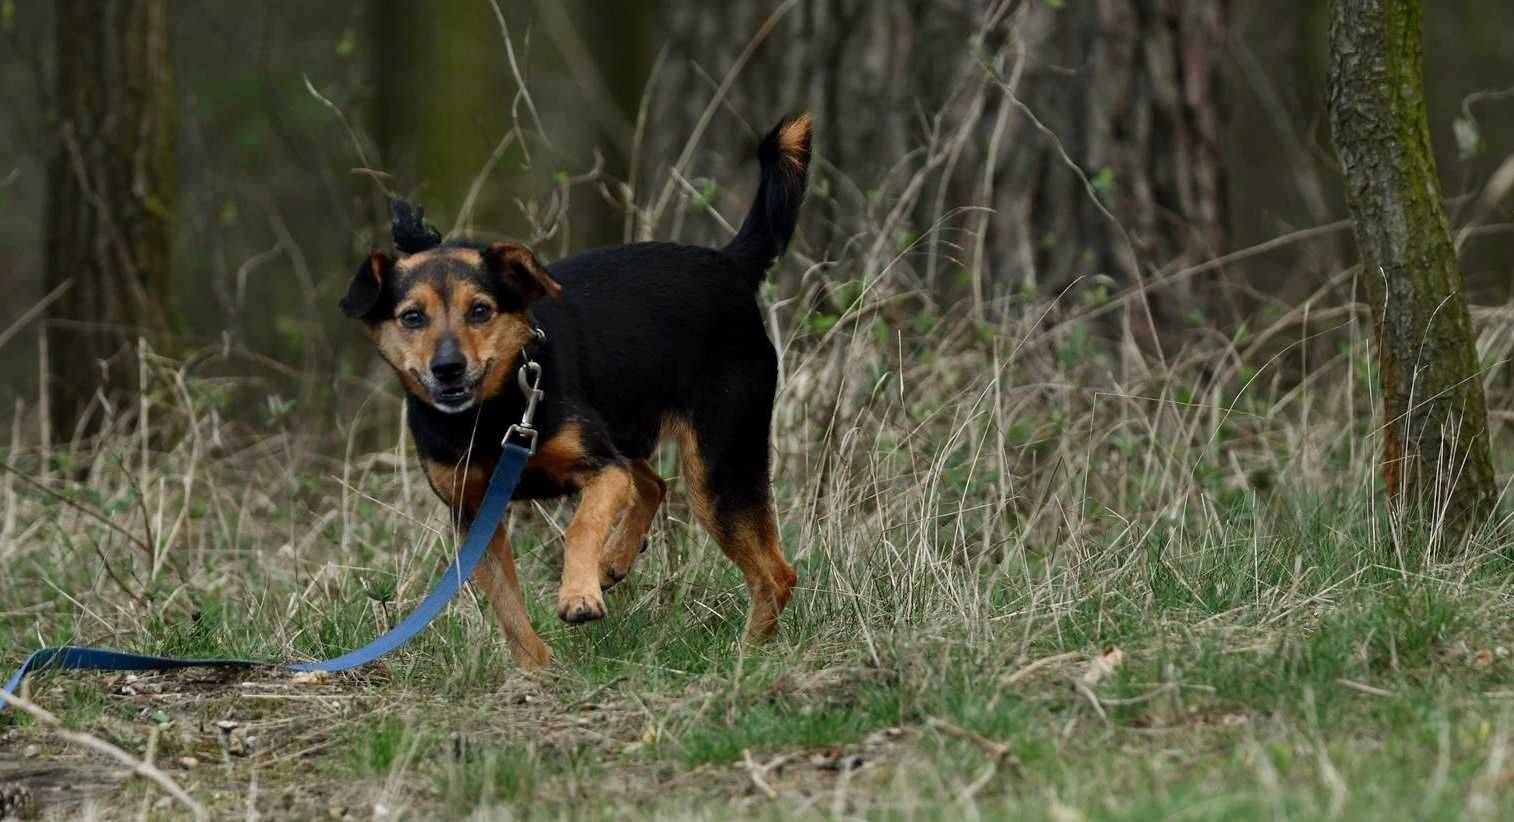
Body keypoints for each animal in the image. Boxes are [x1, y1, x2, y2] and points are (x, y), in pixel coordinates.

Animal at [340, 114, 817, 669]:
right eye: (412, 317)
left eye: (480, 310)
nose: (448, 369)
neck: (487, 416)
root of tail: (728, 263)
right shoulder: (474, 515)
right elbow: (507, 606)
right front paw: (535, 671)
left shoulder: (599, 470)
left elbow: (580, 527)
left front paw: (577, 596)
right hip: (629, 433)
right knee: (653, 483)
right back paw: (615, 561)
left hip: (717, 463)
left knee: (775, 573)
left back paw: (745, 657)